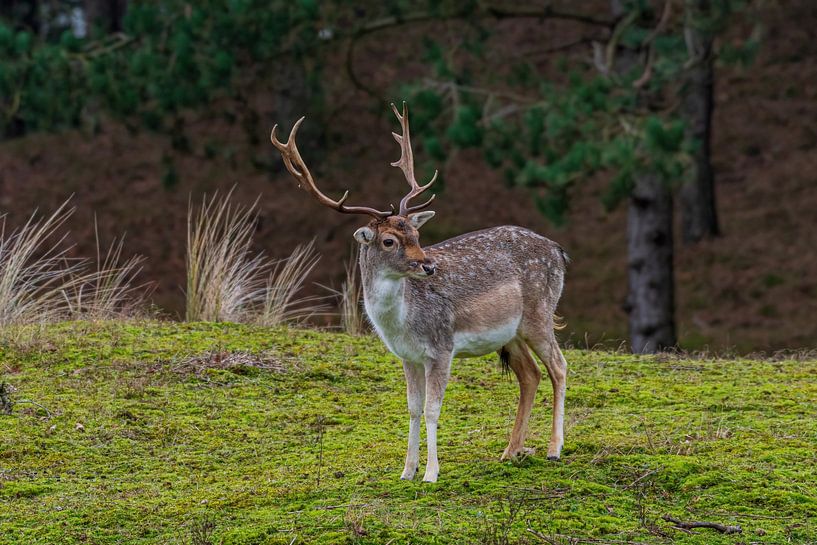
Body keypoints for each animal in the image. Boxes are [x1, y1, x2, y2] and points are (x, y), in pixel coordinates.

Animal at [270, 103, 568, 483]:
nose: (428, 266)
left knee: (559, 367)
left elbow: (431, 410)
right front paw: (406, 471)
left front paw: (430, 473)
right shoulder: (407, 356)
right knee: (530, 375)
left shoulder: (441, 348)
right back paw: (510, 451)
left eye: (416, 233)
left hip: (540, 312)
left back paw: (554, 449)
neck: (403, 324)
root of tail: (558, 250)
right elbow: (412, 408)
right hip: (511, 333)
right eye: (389, 240)